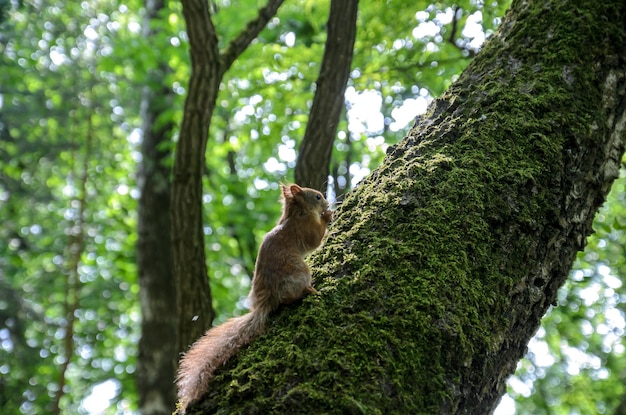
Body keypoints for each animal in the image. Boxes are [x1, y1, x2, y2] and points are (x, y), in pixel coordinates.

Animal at [176, 184, 332, 412]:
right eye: (318, 196)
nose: (327, 203)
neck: (296, 214)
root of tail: (265, 303)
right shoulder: (305, 229)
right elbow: (316, 239)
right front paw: (328, 216)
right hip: (300, 272)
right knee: (289, 297)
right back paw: (307, 291)